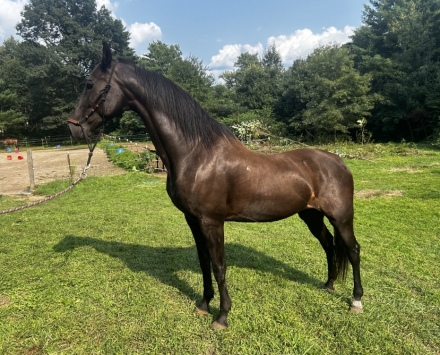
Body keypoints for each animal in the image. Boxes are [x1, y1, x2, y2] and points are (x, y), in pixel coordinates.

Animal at [68, 43, 364, 330]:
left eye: (90, 83)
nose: (73, 127)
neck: (197, 154)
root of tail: (338, 160)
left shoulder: (212, 221)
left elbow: (219, 265)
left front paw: (222, 316)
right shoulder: (192, 219)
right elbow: (204, 262)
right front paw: (203, 304)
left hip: (341, 217)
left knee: (352, 250)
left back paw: (356, 300)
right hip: (311, 215)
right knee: (329, 244)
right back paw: (328, 285)